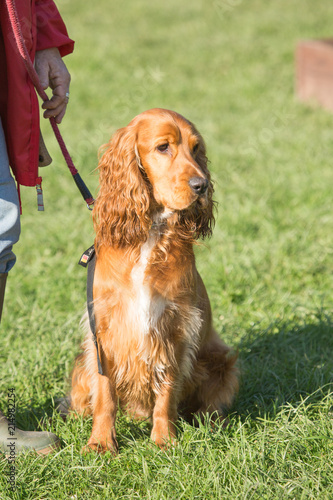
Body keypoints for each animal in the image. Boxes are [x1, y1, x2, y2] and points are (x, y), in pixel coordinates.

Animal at [70, 108, 237, 454]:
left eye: (196, 148)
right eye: (163, 147)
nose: (202, 185)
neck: (150, 234)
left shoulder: (175, 325)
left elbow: (167, 390)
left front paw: (164, 440)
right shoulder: (104, 330)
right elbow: (105, 394)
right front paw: (101, 443)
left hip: (222, 362)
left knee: (210, 405)